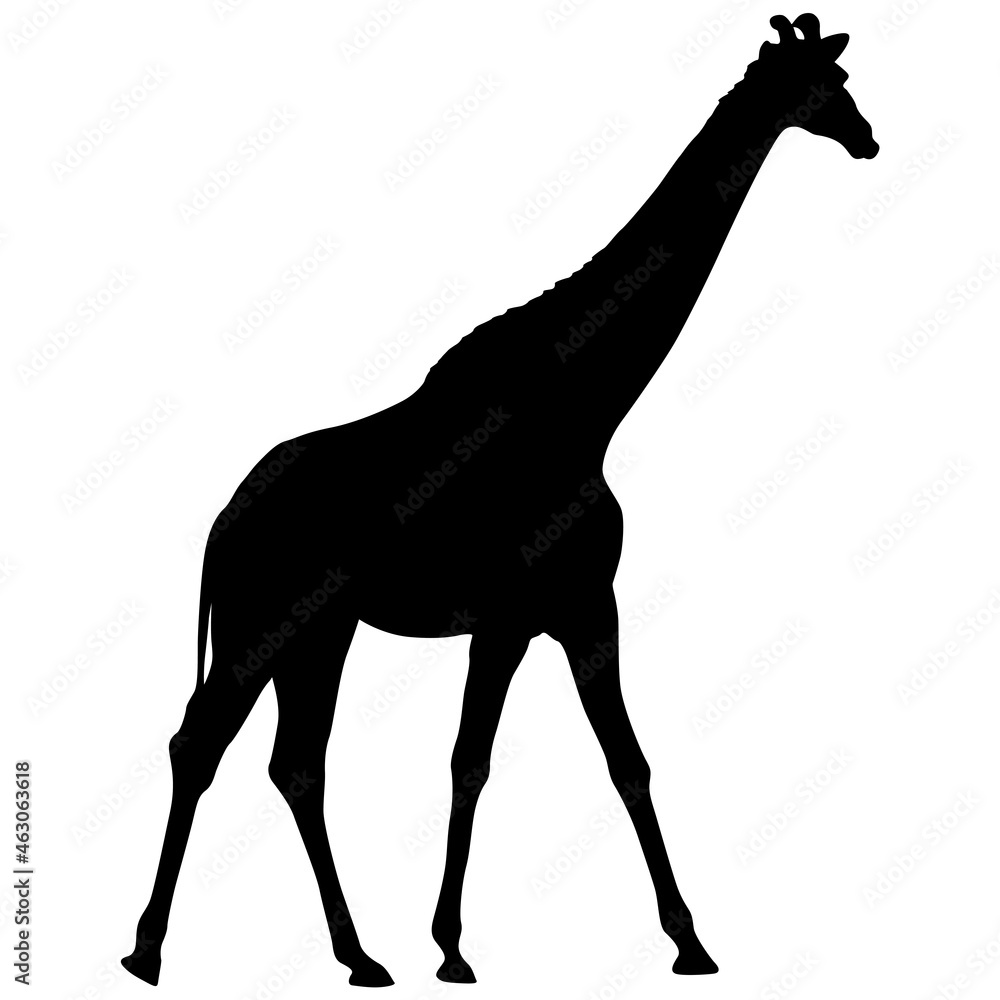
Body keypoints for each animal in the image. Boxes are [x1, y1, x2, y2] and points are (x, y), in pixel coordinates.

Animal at [122, 13, 877, 988]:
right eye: (828, 84)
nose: (867, 139)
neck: (590, 402)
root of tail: (222, 523)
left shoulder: (542, 616)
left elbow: (536, 763)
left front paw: (458, 944)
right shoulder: (564, 605)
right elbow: (562, 761)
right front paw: (668, 941)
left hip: (319, 633)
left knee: (296, 765)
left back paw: (359, 956)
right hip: (264, 622)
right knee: (201, 742)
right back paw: (147, 951)